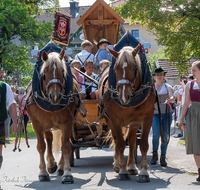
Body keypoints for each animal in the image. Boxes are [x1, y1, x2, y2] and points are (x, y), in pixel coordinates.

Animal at [26, 47, 85, 184]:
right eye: (45, 71)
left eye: (62, 70)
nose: (55, 96)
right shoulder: (36, 124)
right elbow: (41, 146)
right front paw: (43, 172)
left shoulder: (67, 122)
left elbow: (66, 146)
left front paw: (67, 173)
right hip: (47, 125)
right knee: (48, 139)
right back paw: (51, 164)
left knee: (63, 142)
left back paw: (60, 167)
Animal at [98, 44, 155, 183]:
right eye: (115, 68)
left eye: (134, 67)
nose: (124, 96)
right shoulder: (115, 120)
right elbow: (120, 144)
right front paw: (123, 171)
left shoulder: (147, 118)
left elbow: (143, 144)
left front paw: (144, 172)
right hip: (109, 120)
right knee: (116, 139)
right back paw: (117, 165)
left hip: (134, 122)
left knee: (132, 140)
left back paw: (132, 166)